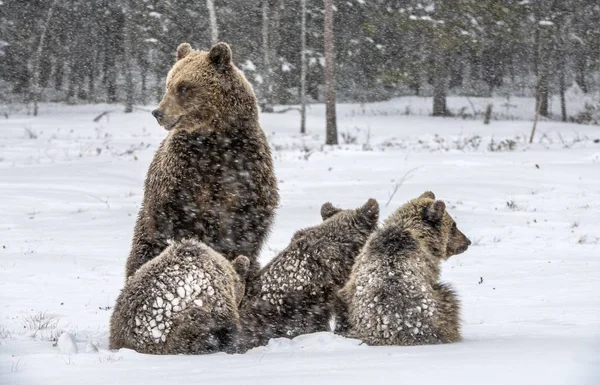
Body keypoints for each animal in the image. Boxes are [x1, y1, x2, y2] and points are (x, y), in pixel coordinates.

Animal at [125, 42, 280, 280]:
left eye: (183, 87)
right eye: (168, 84)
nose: (158, 112)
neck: (214, 139)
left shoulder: (246, 166)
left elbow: (246, 221)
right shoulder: (182, 170)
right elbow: (174, 213)